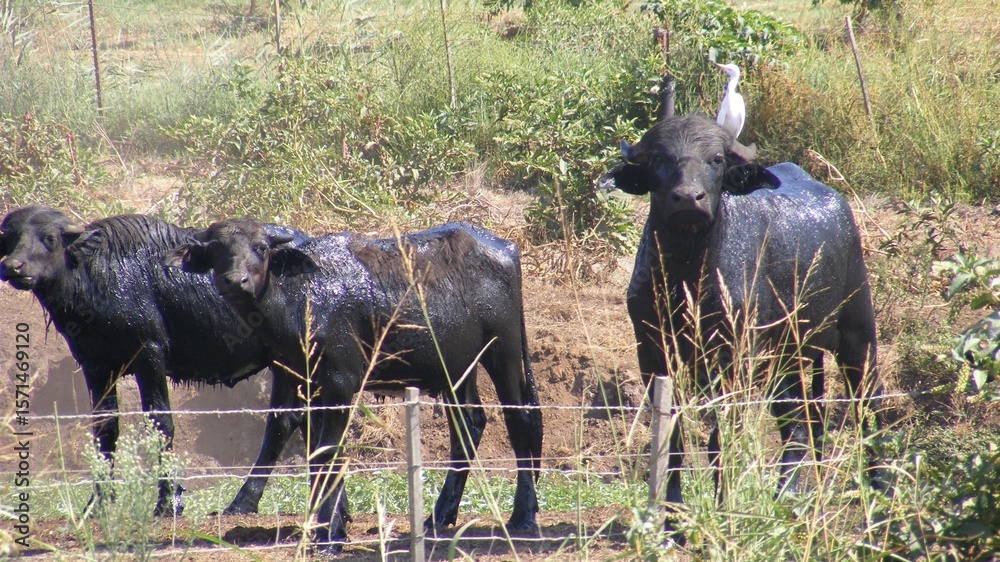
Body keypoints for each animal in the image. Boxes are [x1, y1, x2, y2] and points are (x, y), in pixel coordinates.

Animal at [0, 205, 307, 516]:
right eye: (10, 238)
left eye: (49, 238)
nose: (13, 267)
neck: (98, 275)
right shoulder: (95, 364)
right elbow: (105, 426)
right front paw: (98, 503)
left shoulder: (149, 354)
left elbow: (160, 422)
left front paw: (169, 501)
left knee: (281, 423)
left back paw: (243, 500)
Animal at [165, 218, 542, 553]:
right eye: (217, 250)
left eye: (260, 248)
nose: (235, 281)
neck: (303, 297)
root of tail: (504, 247)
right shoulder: (309, 387)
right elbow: (319, 453)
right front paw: (326, 527)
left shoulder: (340, 385)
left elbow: (329, 452)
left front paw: (329, 534)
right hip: (456, 368)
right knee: (469, 423)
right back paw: (438, 517)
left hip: (504, 351)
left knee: (519, 419)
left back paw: (522, 516)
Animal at [598, 114, 881, 530]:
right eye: (660, 160)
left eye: (716, 159)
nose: (688, 198)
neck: (687, 275)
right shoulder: (653, 354)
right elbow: (672, 436)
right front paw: (672, 514)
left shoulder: (735, 360)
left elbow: (721, 439)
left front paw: (722, 506)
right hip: (787, 356)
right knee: (798, 420)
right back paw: (788, 495)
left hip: (857, 334)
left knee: (867, 405)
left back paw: (879, 487)